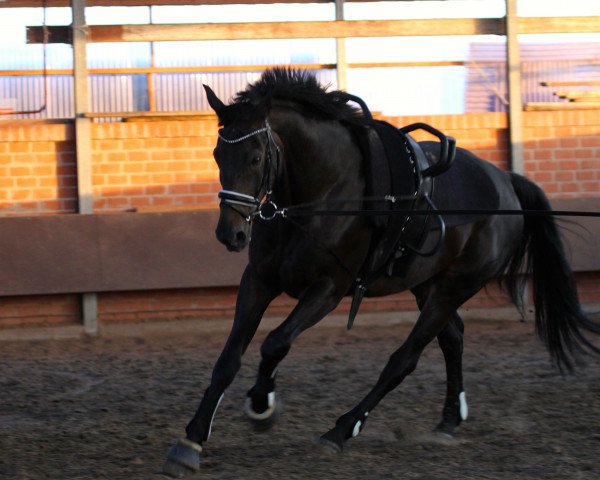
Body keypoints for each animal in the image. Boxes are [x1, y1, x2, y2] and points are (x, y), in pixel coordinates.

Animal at [162, 67, 596, 476]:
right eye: (218, 155)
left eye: (255, 157)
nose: (230, 233)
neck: (321, 196)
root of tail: (505, 182)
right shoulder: (258, 281)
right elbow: (228, 359)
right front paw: (191, 442)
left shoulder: (329, 288)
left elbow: (275, 343)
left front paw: (263, 404)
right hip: (427, 286)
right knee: (452, 338)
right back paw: (448, 421)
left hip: (455, 287)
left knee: (403, 360)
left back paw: (341, 430)